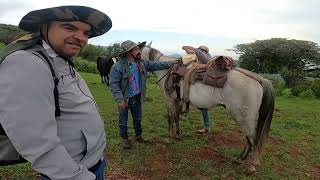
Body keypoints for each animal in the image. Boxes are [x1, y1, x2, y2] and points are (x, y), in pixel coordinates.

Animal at [142, 45, 276, 172]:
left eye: (140, 54)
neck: (167, 70)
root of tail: (260, 79)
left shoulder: (169, 100)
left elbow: (170, 118)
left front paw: (169, 137)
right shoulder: (175, 101)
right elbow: (176, 118)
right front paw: (177, 135)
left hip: (244, 117)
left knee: (253, 138)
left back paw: (251, 165)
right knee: (250, 138)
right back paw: (239, 159)